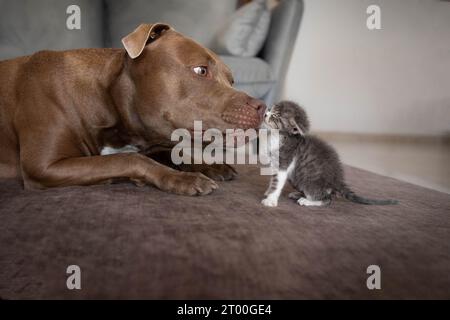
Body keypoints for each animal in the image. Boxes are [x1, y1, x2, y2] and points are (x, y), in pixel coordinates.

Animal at [0, 23, 268, 195]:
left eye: (231, 80)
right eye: (201, 70)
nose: (262, 107)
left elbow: (173, 153)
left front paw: (211, 166)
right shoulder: (43, 167)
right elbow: (128, 158)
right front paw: (181, 179)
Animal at [260, 101, 398, 209]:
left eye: (276, 115)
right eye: (271, 109)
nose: (265, 113)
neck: (277, 136)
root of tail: (337, 179)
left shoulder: (284, 162)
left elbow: (277, 182)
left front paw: (270, 200)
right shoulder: (275, 164)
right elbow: (272, 180)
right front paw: (268, 192)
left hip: (308, 179)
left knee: (327, 199)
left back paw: (307, 201)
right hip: (296, 177)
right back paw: (298, 194)